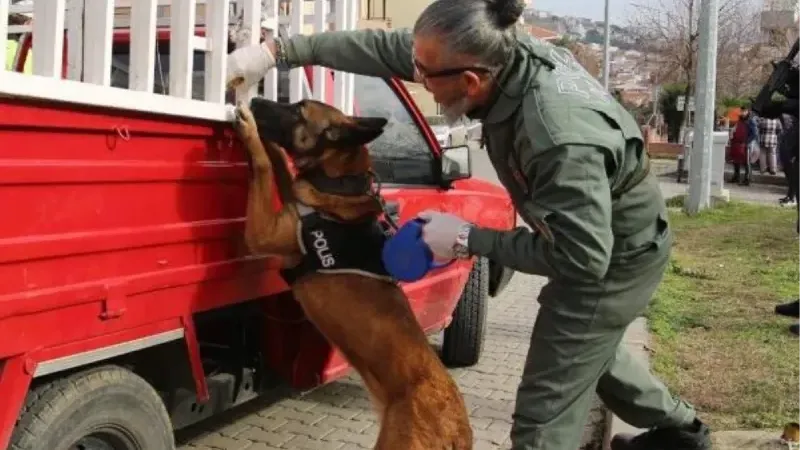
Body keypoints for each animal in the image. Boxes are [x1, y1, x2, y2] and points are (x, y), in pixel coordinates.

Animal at [234, 98, 476, 450]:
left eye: (298, 110)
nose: (256, 100)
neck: (338, 182)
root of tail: (459, 431)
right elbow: (283, 172)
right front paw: (275, 150)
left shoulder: (262, 233)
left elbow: (265, 169)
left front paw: (252, 132)